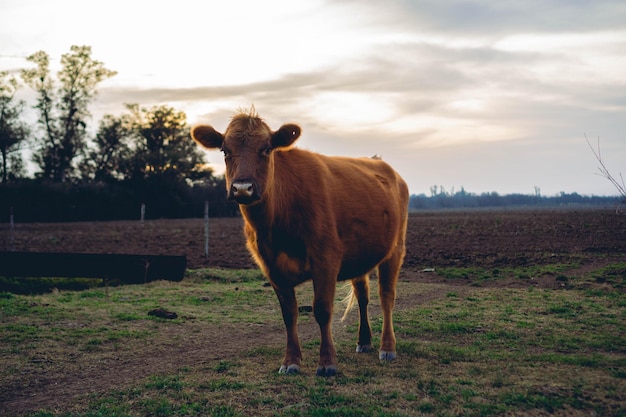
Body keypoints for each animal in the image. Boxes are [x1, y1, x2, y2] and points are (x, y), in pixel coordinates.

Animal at [190, 106, 408, 374]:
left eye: (266, 148)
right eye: (224, 150)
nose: (242, 188)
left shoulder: (325, 258)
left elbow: (322, 309)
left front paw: (327, 362)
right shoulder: (272, 266)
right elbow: (289, 314)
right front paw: (291, 361)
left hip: (395, 249)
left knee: (387, 296)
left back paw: (387, 347)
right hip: (362, 254)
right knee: (363, 296)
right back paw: (364, 341)